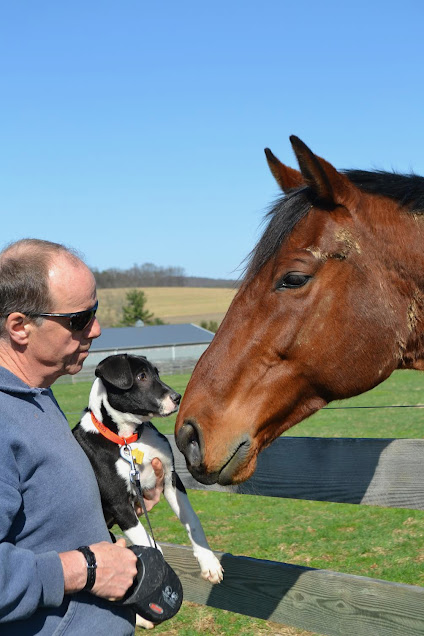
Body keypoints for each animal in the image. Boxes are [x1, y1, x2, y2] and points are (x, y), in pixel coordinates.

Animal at [73, 353, 224, 592]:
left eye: (156, 373)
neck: (129, 439)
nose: (177, 397)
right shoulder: (119, 504)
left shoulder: (171, 479)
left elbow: (193, 520)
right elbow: (148, 542)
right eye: (141, 376)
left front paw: (208, 562)